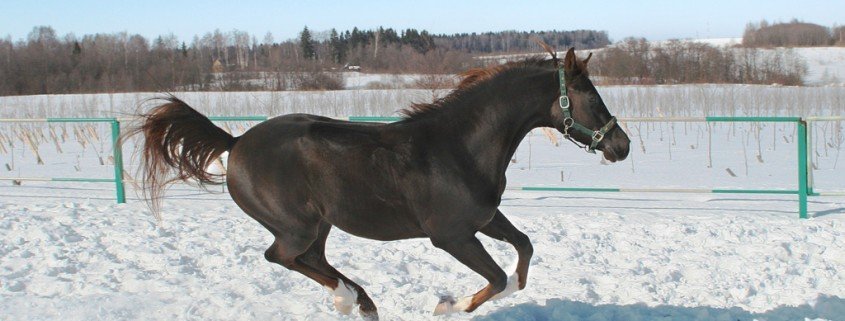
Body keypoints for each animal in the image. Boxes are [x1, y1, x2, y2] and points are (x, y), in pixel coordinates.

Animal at [132, 48, 628, 320]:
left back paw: (363, 301)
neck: (462, 146)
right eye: (589, 96)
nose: (620, 146)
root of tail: (234, 142)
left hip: (321, 224)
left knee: (312, 259)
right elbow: (498, 276)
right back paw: (347, 299)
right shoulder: (451, 235)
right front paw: (447, 306)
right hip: (296, 225)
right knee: (282, 256)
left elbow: (522, 254)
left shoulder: (485, 219)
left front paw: (464, 300)